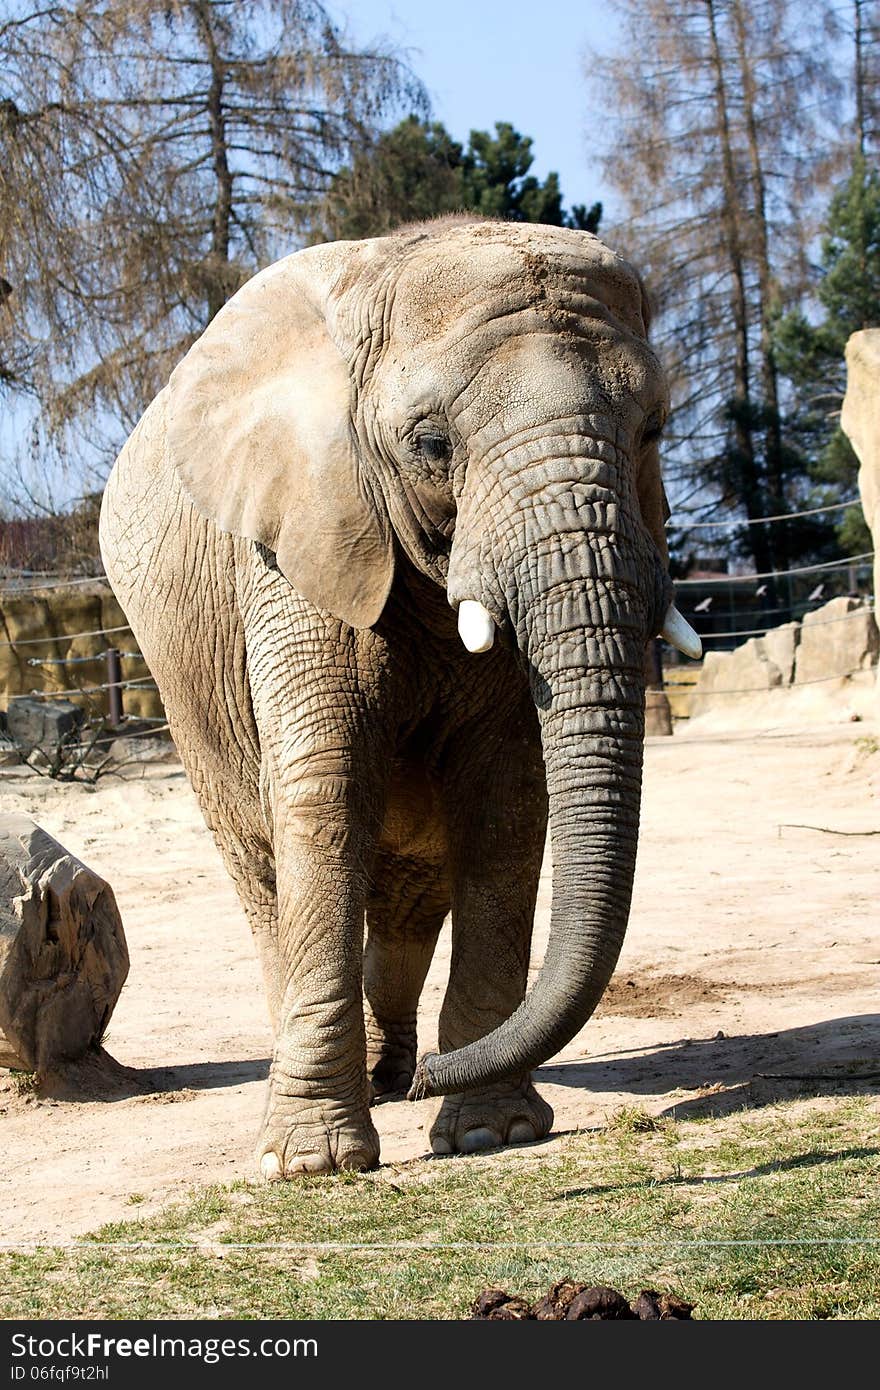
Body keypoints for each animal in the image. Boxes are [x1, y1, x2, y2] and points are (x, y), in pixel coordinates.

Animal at [98, 214, 700, 1173]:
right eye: (431, 445)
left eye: (655, 427)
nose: (430, 1083)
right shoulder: (296, 541)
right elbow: (325, 789)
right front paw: (308, 1165)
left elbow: (509, 801)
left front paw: (492, 1131)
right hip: (182, 692)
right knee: (262, 870)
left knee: (412, 901)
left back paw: (393, 1070)